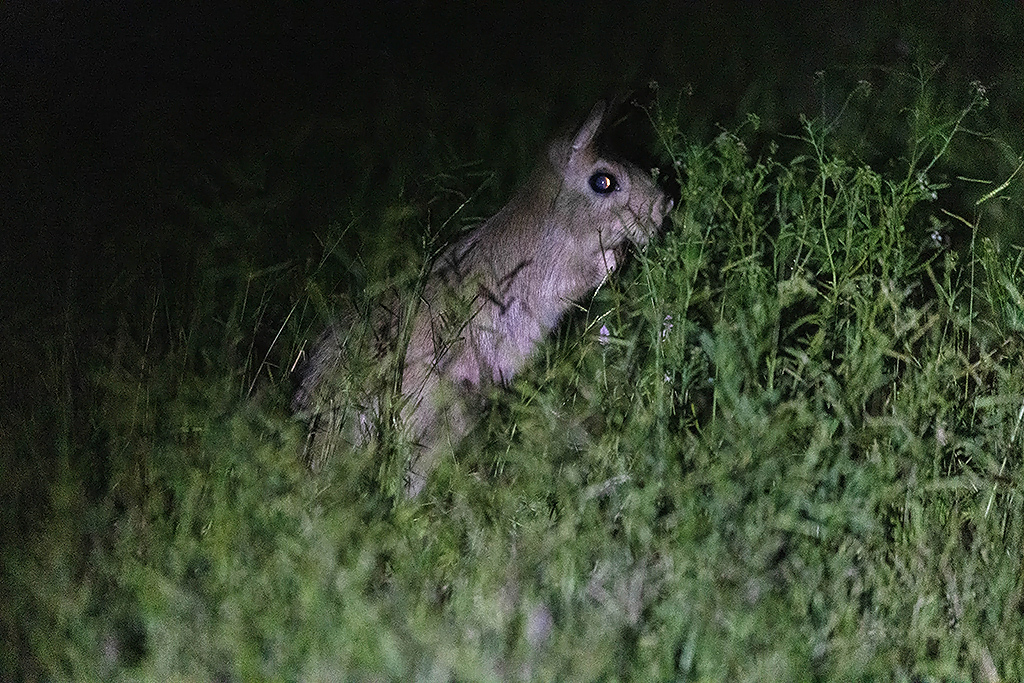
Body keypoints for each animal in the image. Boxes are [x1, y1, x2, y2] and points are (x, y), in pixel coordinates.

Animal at [293, 101, 674, 496]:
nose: (666, 204)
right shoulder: (555, 277)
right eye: (603, 181)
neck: (557, 218)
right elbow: (590, 271)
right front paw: (615, 258)